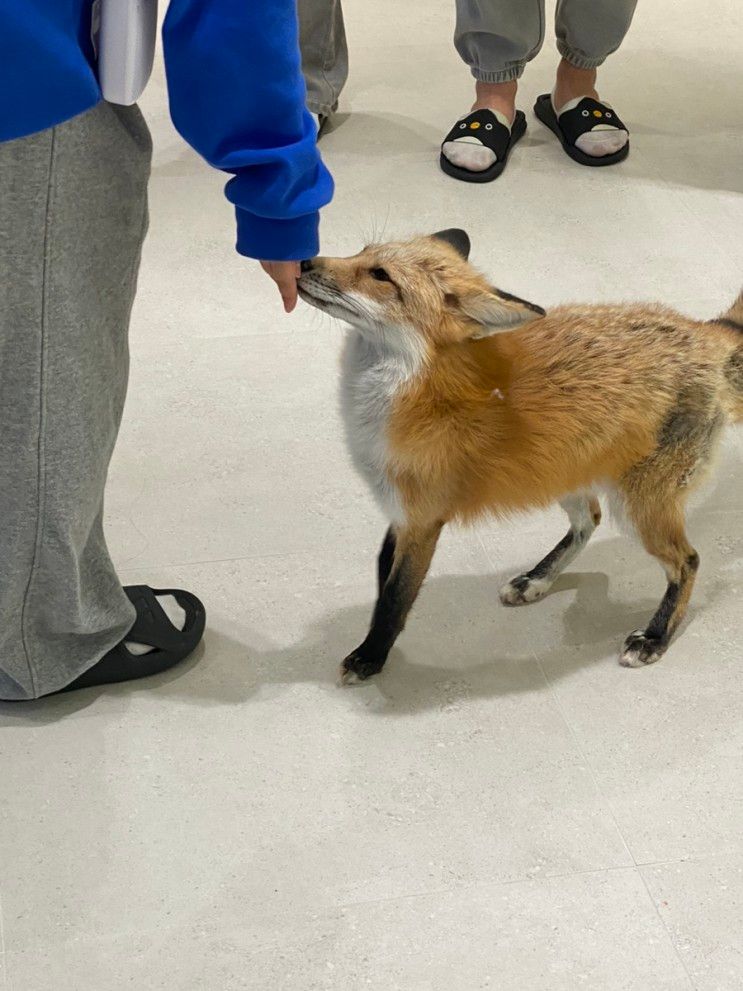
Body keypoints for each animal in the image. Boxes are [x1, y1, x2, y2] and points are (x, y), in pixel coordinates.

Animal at [298, 231, 743, 680]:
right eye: (361, 251)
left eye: (380, 275)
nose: (302, 261)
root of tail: (704, 332)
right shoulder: (399, 510)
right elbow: (381, 574)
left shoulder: (422, 519)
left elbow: (395, 597)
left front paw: (371, 657)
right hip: (564, 473)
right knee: (589, 520)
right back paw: (538, 578)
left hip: (638, 506)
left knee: (688, 561)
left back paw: (655, 637)